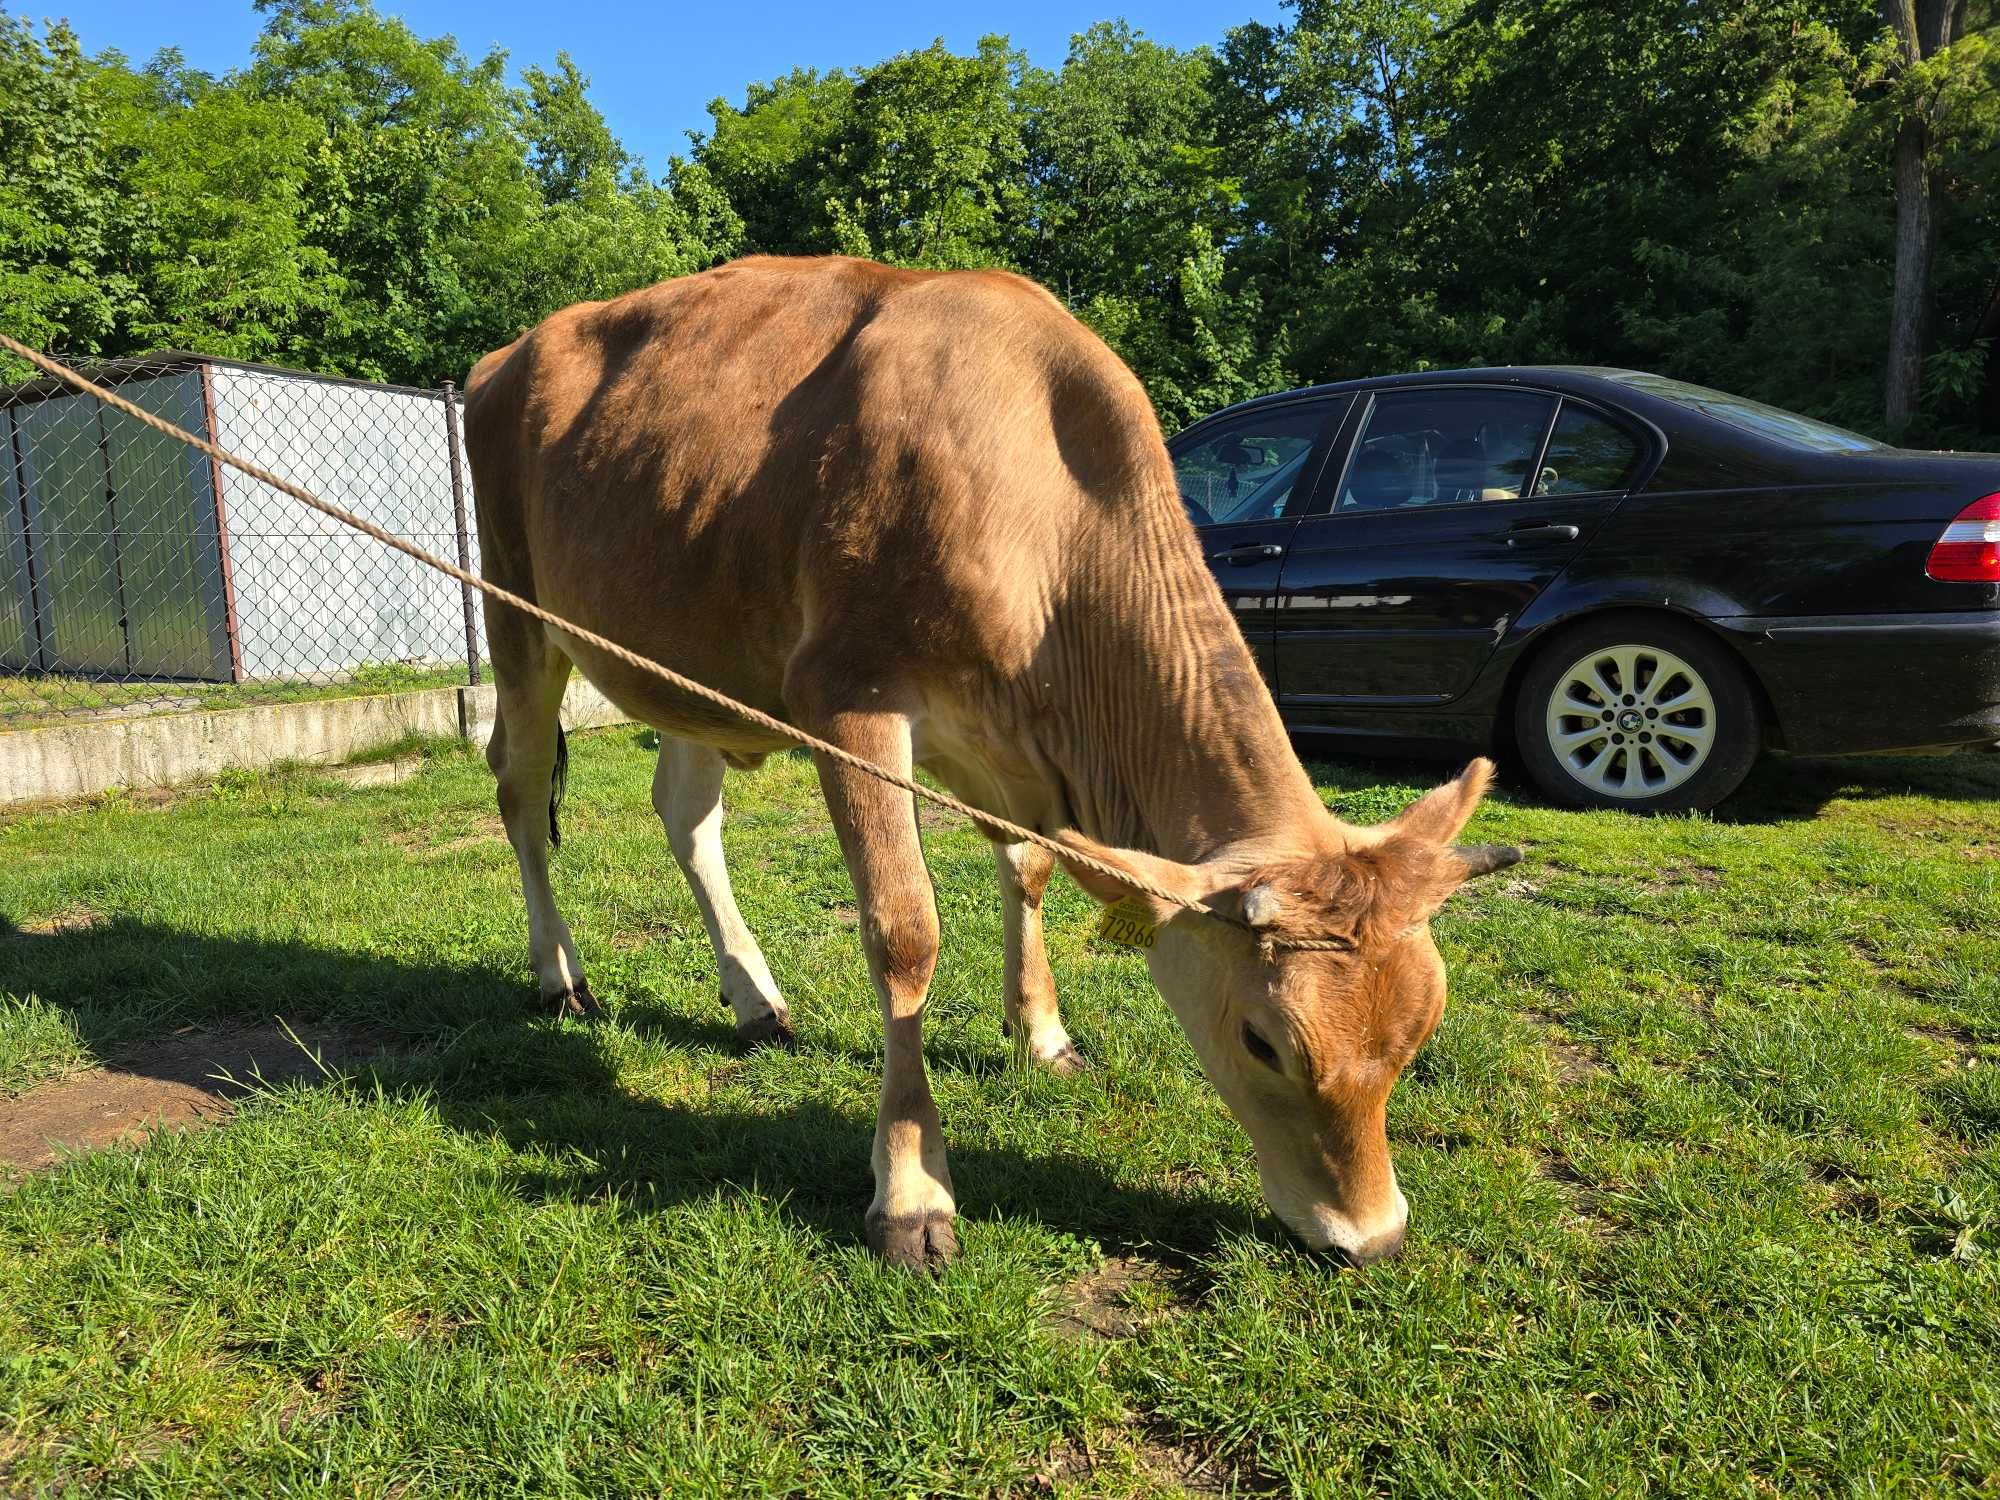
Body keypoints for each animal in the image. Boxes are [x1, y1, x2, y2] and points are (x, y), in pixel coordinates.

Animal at [460, 256, 1504, 1272]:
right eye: (1265, 1041)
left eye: (1423, 1029)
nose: (1372, 1237)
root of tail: (502, 358)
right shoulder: (847, 698)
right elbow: (904, 934)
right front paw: (912, 1193)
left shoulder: (1000, 743)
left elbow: (1029, 866)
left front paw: (1041, 1033)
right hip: (517, 616)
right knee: (518, 787)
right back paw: (559, 975)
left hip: (687, 659)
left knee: (684, 813)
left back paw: (754, 999)